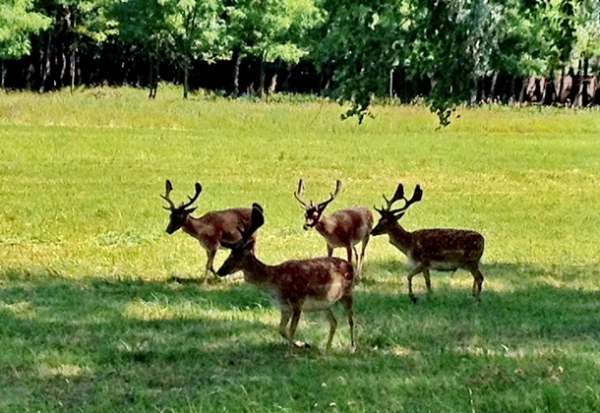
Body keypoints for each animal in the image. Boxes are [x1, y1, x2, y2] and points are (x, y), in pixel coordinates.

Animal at [217, 203, 354, 354]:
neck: (275, 281)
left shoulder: (297, 302)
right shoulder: (284, 306)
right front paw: (302, 344)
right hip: (325, 304)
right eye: (230, 254)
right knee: (334, 322)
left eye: (234, 256)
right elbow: (281, 330)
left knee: (351, 319)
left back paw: (353, 347)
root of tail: (350, 265)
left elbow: (292, 329)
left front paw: (290, 353)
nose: (219, 271)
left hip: (348, 292)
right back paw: (327, 349)